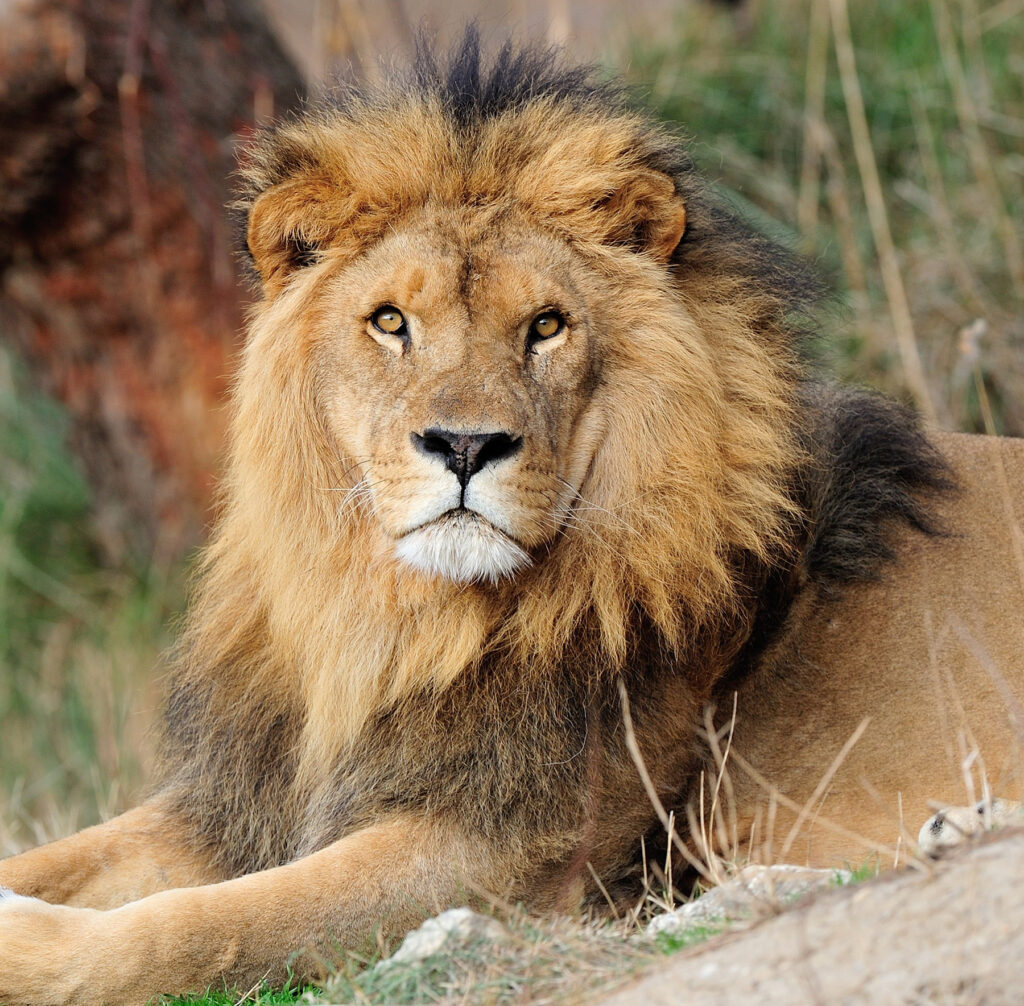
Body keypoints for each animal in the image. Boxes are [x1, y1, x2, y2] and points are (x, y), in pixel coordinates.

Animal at [1, 36, 1022, 1005]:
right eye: (389, 322)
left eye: (545, 326)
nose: (464, 445)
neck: (395, 626)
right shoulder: (244, 799)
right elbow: (73, 855)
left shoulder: (510, 856)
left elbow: (214, 922)